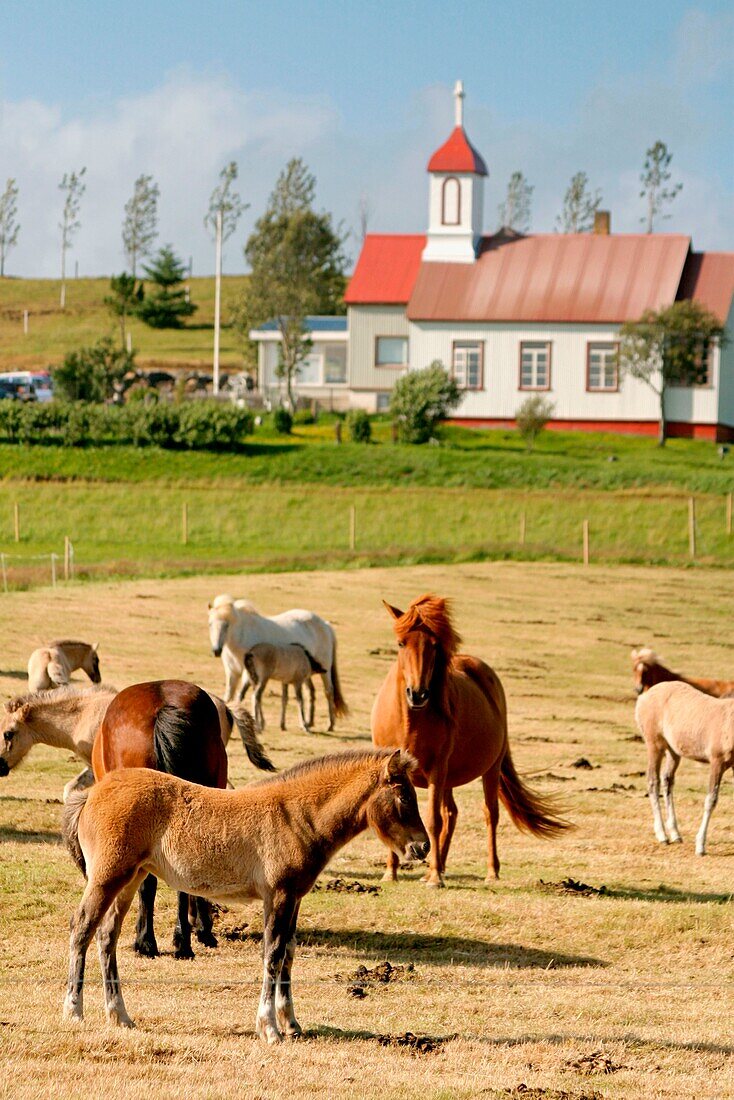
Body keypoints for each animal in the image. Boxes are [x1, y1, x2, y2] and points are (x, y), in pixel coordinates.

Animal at [63, 748, 431, 1038]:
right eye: (404, 798)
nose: (423, 847)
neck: (297, 816)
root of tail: (91, 794)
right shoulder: (278, 895)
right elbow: (272, 954)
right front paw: (269, 1028)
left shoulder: (294, 897)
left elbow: (288, 954)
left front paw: (292, 1024)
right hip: (108, 876)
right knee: (82, 928)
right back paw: (74, 1011)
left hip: (131, 879)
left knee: (107, 935)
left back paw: (120, 1016)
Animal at [203, 594, 347, 730]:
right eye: (210, 624)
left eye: (227, 625)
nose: (216, 650)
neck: (241, 636)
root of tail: (326, 625)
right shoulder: (233, 673)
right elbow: (229, 696)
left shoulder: (249, 674)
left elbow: (248, 695)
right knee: (310, 691)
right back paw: (308, 722)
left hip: (324, 670)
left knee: (328, 691)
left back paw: (330, 724)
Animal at [369, 594, 572, 884]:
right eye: (400, 643)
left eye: (434, 645)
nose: (417, 694)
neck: (408, 721)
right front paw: (391, 873)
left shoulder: (437, 769)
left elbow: (433, 820)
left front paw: (434, 879)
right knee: (451, 813)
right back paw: (436, 868)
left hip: (489, 770)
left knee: (489, 814)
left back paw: (489, 872)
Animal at [638, 682, 734, 853]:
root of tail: (644, 696)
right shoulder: (717, 762)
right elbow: (711, 800)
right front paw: (700, 846)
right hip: (654, 746)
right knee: (653, 781)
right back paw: (662, 836)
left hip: (673, 751)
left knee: (667, 780)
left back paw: (675, 834)